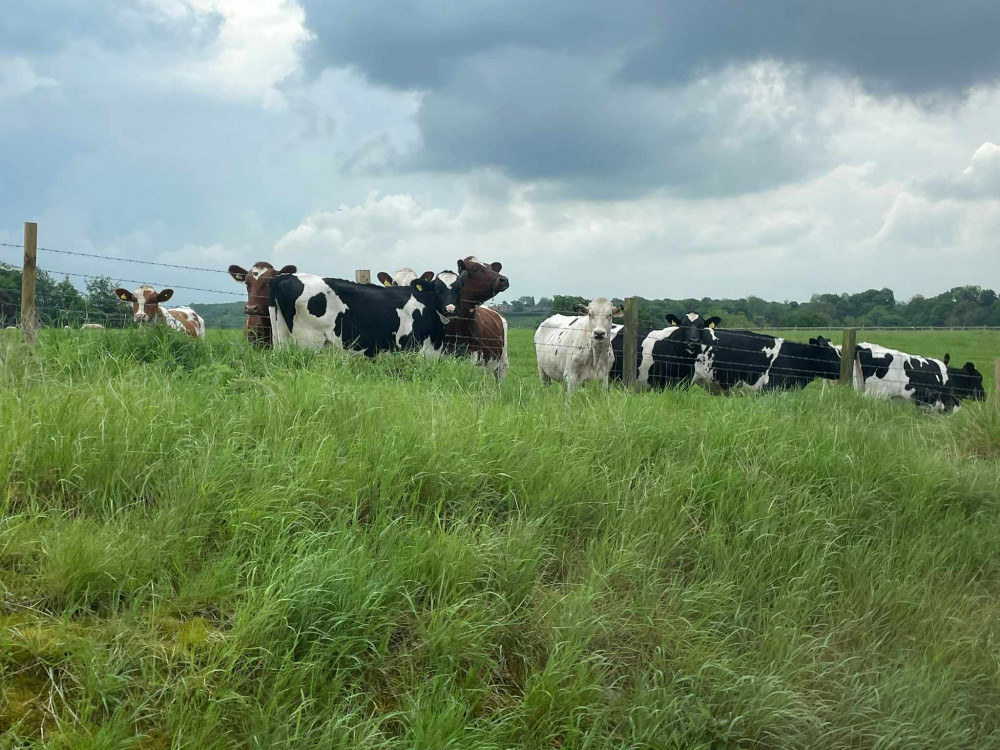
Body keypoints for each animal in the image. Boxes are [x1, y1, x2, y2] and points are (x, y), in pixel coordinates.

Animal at [268, 268, 466, 356]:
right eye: (437, 289)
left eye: (458, 289)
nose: (450, 309)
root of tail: (287, 276)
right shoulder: (407, 350)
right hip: (308, 342)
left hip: (283, 338)